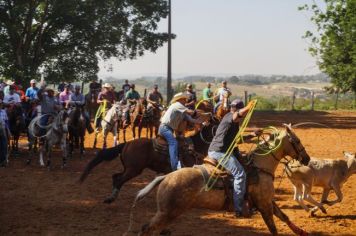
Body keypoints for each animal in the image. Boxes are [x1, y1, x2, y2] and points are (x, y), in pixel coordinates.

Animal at [79, 110, 216, 205]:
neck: (194, 146)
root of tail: (127, 144)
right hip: (134, 169)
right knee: (119, 180)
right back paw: (111, 198)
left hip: (129, 168)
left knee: (115, 176)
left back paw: (112, 197)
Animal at [131, 124, 312, 235]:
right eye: (297, 141)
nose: (307, 158)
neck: (261, 167)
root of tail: (166, 177)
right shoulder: (264, 205)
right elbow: (273, 228)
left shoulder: (267, 202)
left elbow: (284, 217)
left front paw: (301, 231)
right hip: (167, 212)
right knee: (147, 229)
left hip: (168, 213)